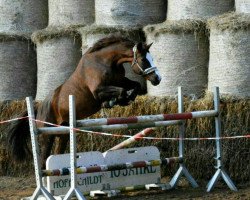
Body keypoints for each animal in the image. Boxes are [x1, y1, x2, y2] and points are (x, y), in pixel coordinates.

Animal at [7, 35, 162, 166]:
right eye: (144, 60)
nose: (157, 79)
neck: (106, 62)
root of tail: (39, 107)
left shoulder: (121, 80)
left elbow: (135, 85)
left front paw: (125, 99)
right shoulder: (98, 90)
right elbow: (121, 91)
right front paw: (115, 101)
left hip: (63, 134)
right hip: (47, 135)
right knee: (43, 159)